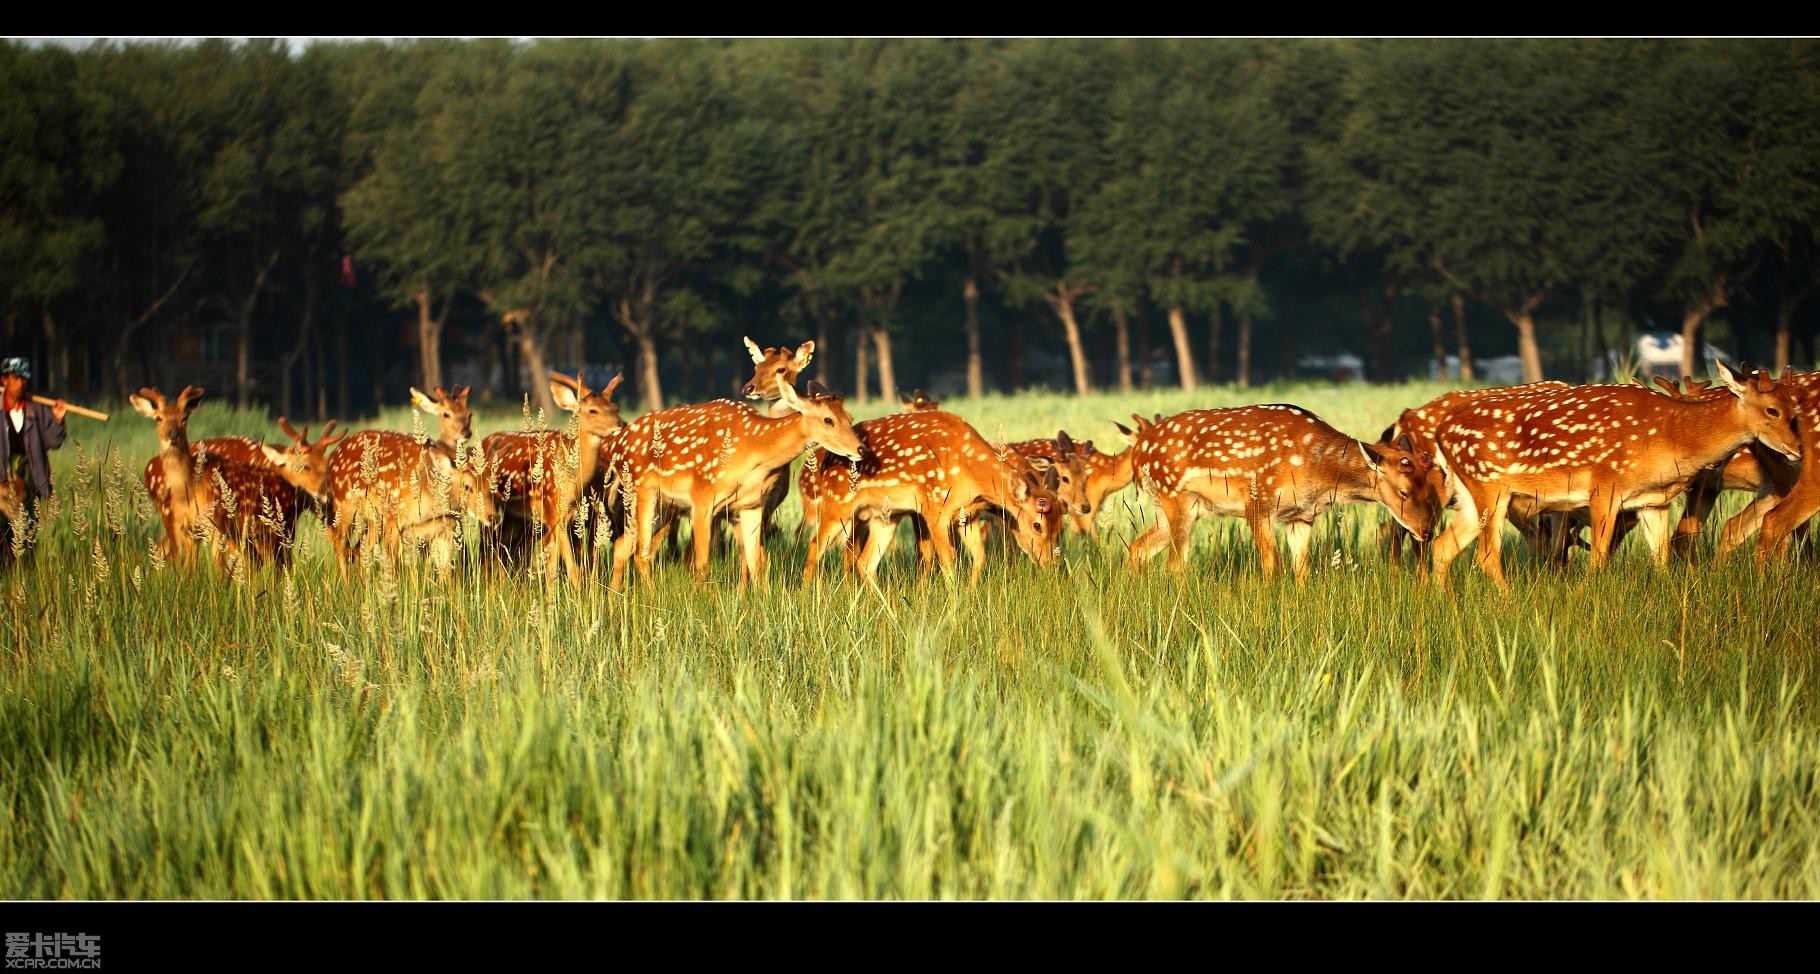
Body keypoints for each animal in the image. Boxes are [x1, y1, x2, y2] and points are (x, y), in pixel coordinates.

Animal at [484, 373, 626, 586]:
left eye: (615, 407)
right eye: (593, 410)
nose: (621, 424)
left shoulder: (567, 515)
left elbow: (553, 566)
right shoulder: (553, 510)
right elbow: (571, 566)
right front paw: (576, 593)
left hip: (515, 517)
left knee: (503, 548)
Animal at [604, 376, 859, 589]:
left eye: (850, 418)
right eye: (828, 420)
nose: (861, 449)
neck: (752, 451)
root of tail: (616, 446)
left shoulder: (750, 504)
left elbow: (755, 563)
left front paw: (762, 606)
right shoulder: (702, 496)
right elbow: (702, 563)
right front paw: (703, 602)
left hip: (665, 505)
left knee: (622, 546)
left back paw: (614, 596)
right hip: (643, 490)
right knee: (642, 552)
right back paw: (651, 594)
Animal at [808, 407, 1070, 582]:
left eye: (1061, 528)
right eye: (1037, 525)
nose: (1051, 563)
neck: (970, 473)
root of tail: (825, 461)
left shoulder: (967, 514)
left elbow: (980, 558)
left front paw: (969, 599)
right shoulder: (934, 507)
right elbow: (949, 561)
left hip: (885, 515)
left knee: (865, 563)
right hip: (837, 504)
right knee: (814, 548)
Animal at [1121, 402, 1434, 582]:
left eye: (1430, 488)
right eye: (1404, 492)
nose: (1427, 531)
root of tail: (1138, 453)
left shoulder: (1301, 515)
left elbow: (1302, 570)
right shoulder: (1258, 503)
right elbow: (1273, 567)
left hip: (1177, 507)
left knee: (1138, 547)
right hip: (1175, 496)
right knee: (1175, 564)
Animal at [1434, 362, 1805, 589]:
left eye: (1795, 410)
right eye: (1772, 410)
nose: (1798, 450)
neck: (1670, 437)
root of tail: (1441, 433)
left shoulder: (1653, 502)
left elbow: (1662, 560)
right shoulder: (1604, 485)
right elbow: (1598, 560)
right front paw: (1584, 598)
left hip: (1470, 495)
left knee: (1442, 546)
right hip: (1490, 486)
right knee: (1486, 556)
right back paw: (1509, 603)